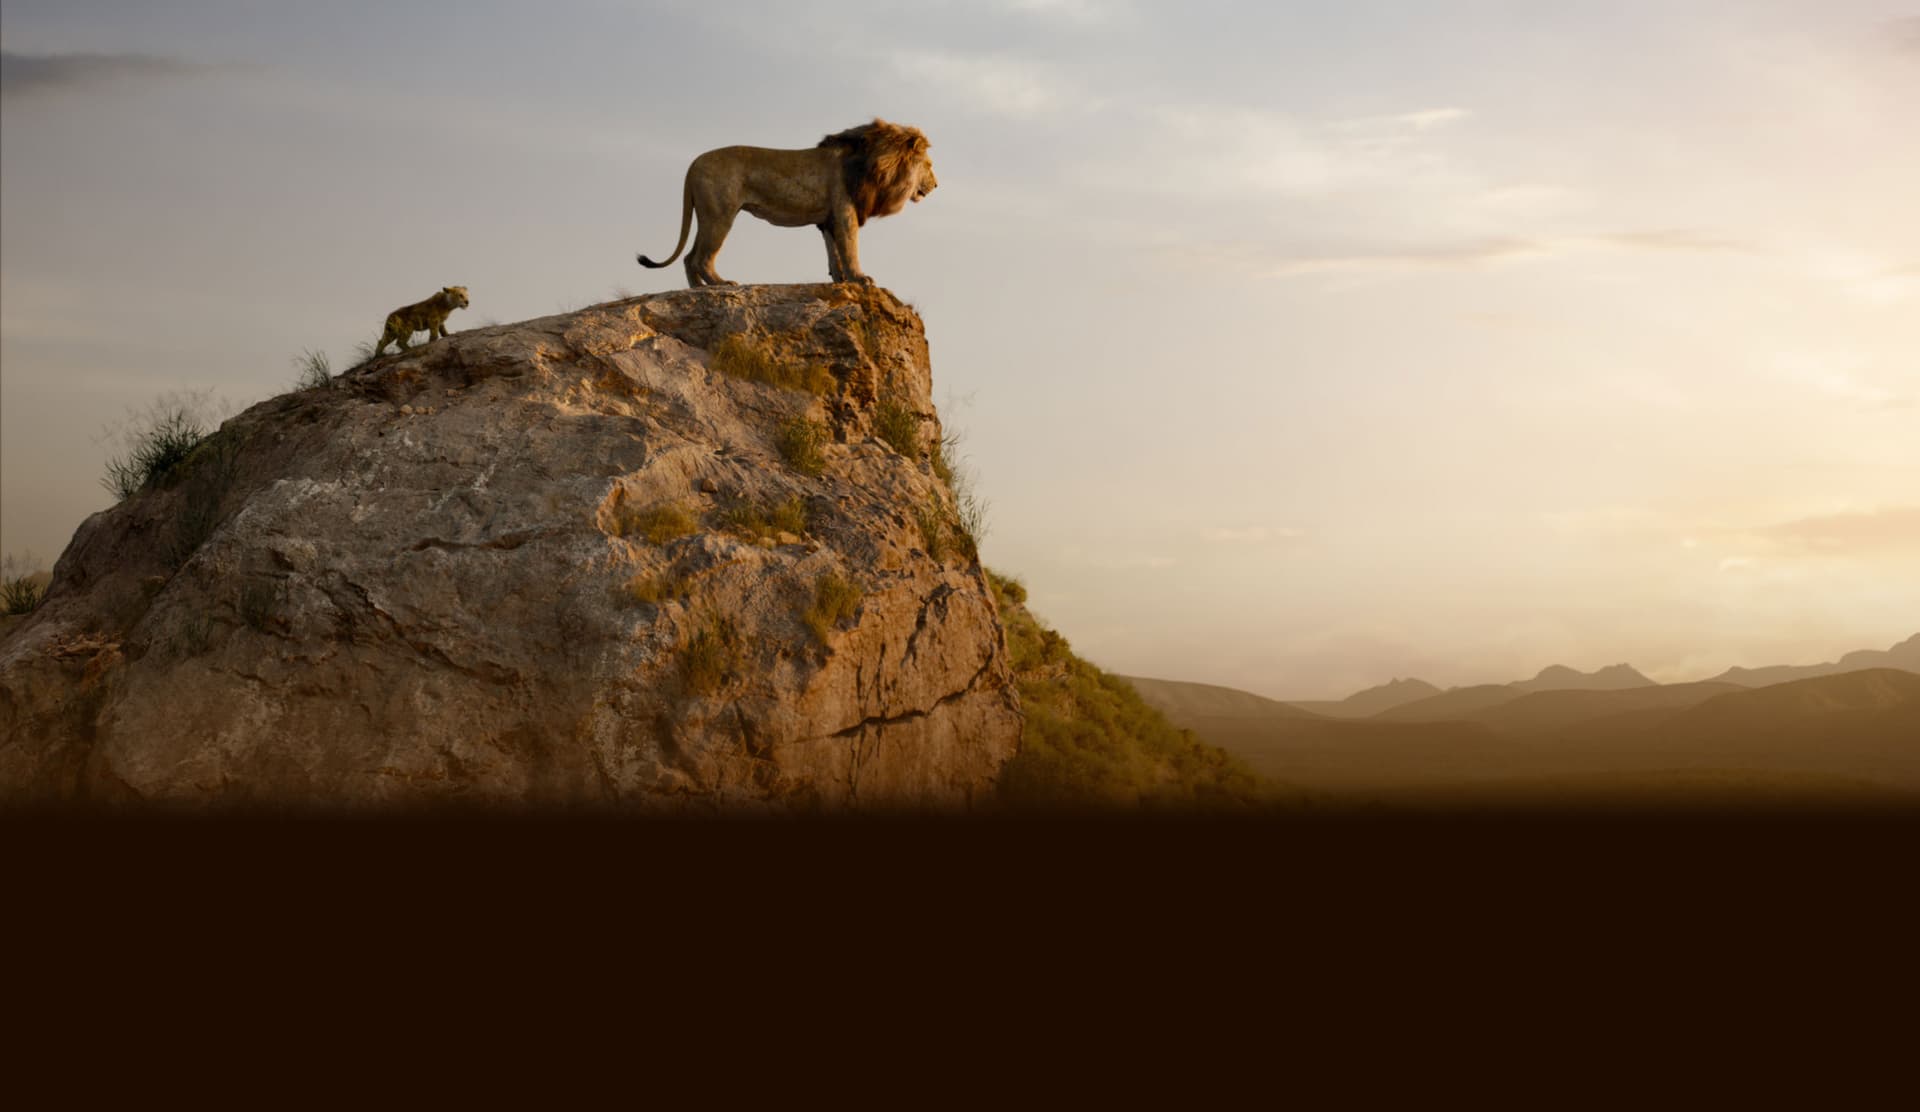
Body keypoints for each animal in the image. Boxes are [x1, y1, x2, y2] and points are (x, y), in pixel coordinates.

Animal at [637, 119, 937, 288]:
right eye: (929, 165)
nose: (936, 185)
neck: (873, 162)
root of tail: (693, 164)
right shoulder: (845, 213)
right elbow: (850, 249)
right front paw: (860, 279)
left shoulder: (828, 219)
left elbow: (834, 253)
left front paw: (840, 281)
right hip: (721, 215)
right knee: (701, 258)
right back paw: (720, 285)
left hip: (707, 215)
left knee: (689, 258)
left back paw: (698, 290)